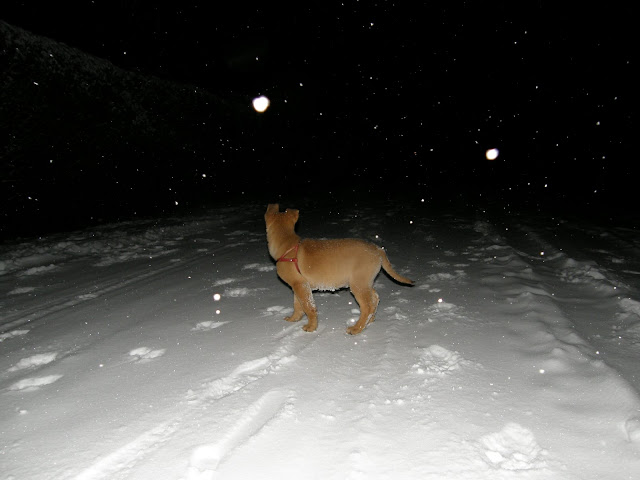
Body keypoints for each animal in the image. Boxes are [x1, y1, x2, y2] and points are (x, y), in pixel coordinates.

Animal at [264, 204, 413, 335]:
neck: (287, 246)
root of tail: (378, 249)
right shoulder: (298, 285)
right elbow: (298, 305)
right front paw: (293, 319)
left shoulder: (300, 285)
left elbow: (308, 307)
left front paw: (311, 327)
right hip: (364, 282)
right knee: (375, 298)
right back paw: (369, 321)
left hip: (358, 284)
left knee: (367, 306)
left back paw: (356, 329)